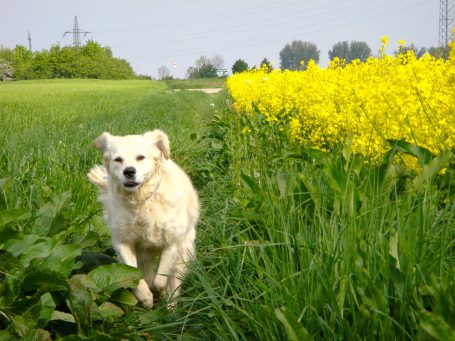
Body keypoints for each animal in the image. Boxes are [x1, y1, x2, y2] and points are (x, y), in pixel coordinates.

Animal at [87, 129, 198, 306]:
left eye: (141, 157)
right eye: (118, 159)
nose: (129, 171)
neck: (140, 203)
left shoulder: (171, 243)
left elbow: (160, 280)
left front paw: (161, 291)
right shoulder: (122, 242)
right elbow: (134, 275)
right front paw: (146, 297)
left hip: (184, 250)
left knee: (174, 280)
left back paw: (171, 305)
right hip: (145, 254)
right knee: (147, 271)